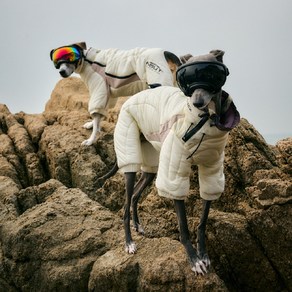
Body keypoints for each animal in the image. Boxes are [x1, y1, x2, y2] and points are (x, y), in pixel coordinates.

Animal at [50, 41, 182, 146]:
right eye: (57, 62)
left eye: (69, 57)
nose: (61, 71)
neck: (87, 60)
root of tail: (166, 53)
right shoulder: (107, 96)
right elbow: (98, 117)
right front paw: (91, 124)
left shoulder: (99, 91)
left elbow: (96, 118)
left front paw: (90, 140)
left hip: (159, 84)